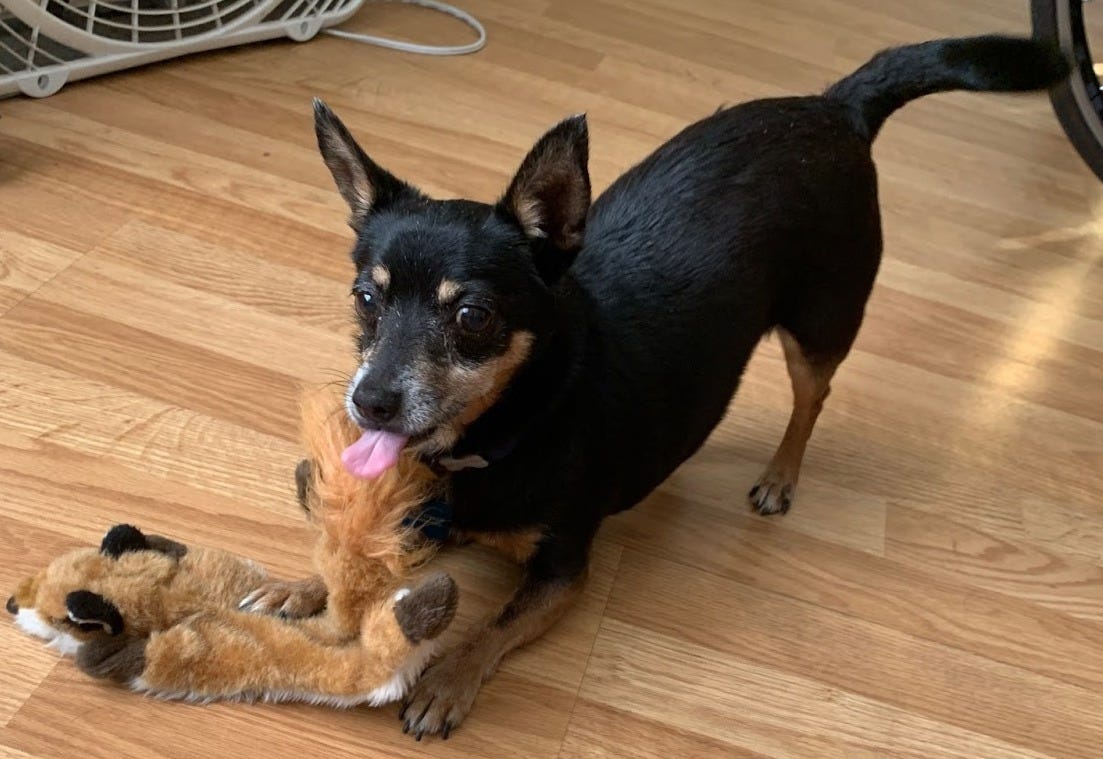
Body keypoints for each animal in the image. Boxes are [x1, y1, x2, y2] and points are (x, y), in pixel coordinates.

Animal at [302, 35, 1068, 738]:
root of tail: (835, 106)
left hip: (819, 324)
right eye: (365, 299)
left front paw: (448, 681)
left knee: (811, 399)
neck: (517, 420)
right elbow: (356, 551)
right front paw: (309, 584)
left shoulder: (562, 571)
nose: (369, 401)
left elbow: (495, 624)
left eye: (472, 317)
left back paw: (780, 476)